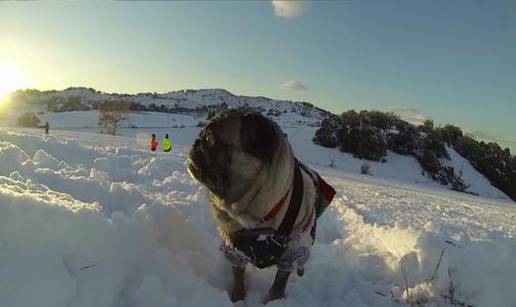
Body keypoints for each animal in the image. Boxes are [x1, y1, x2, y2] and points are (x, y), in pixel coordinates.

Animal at [187, 109, 336, 304]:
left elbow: (279, 283)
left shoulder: (291, 254)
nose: (196, 142)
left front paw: (274, 301)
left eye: (210, 138)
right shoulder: (234, 251)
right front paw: (237, 297)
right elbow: (238, 277)